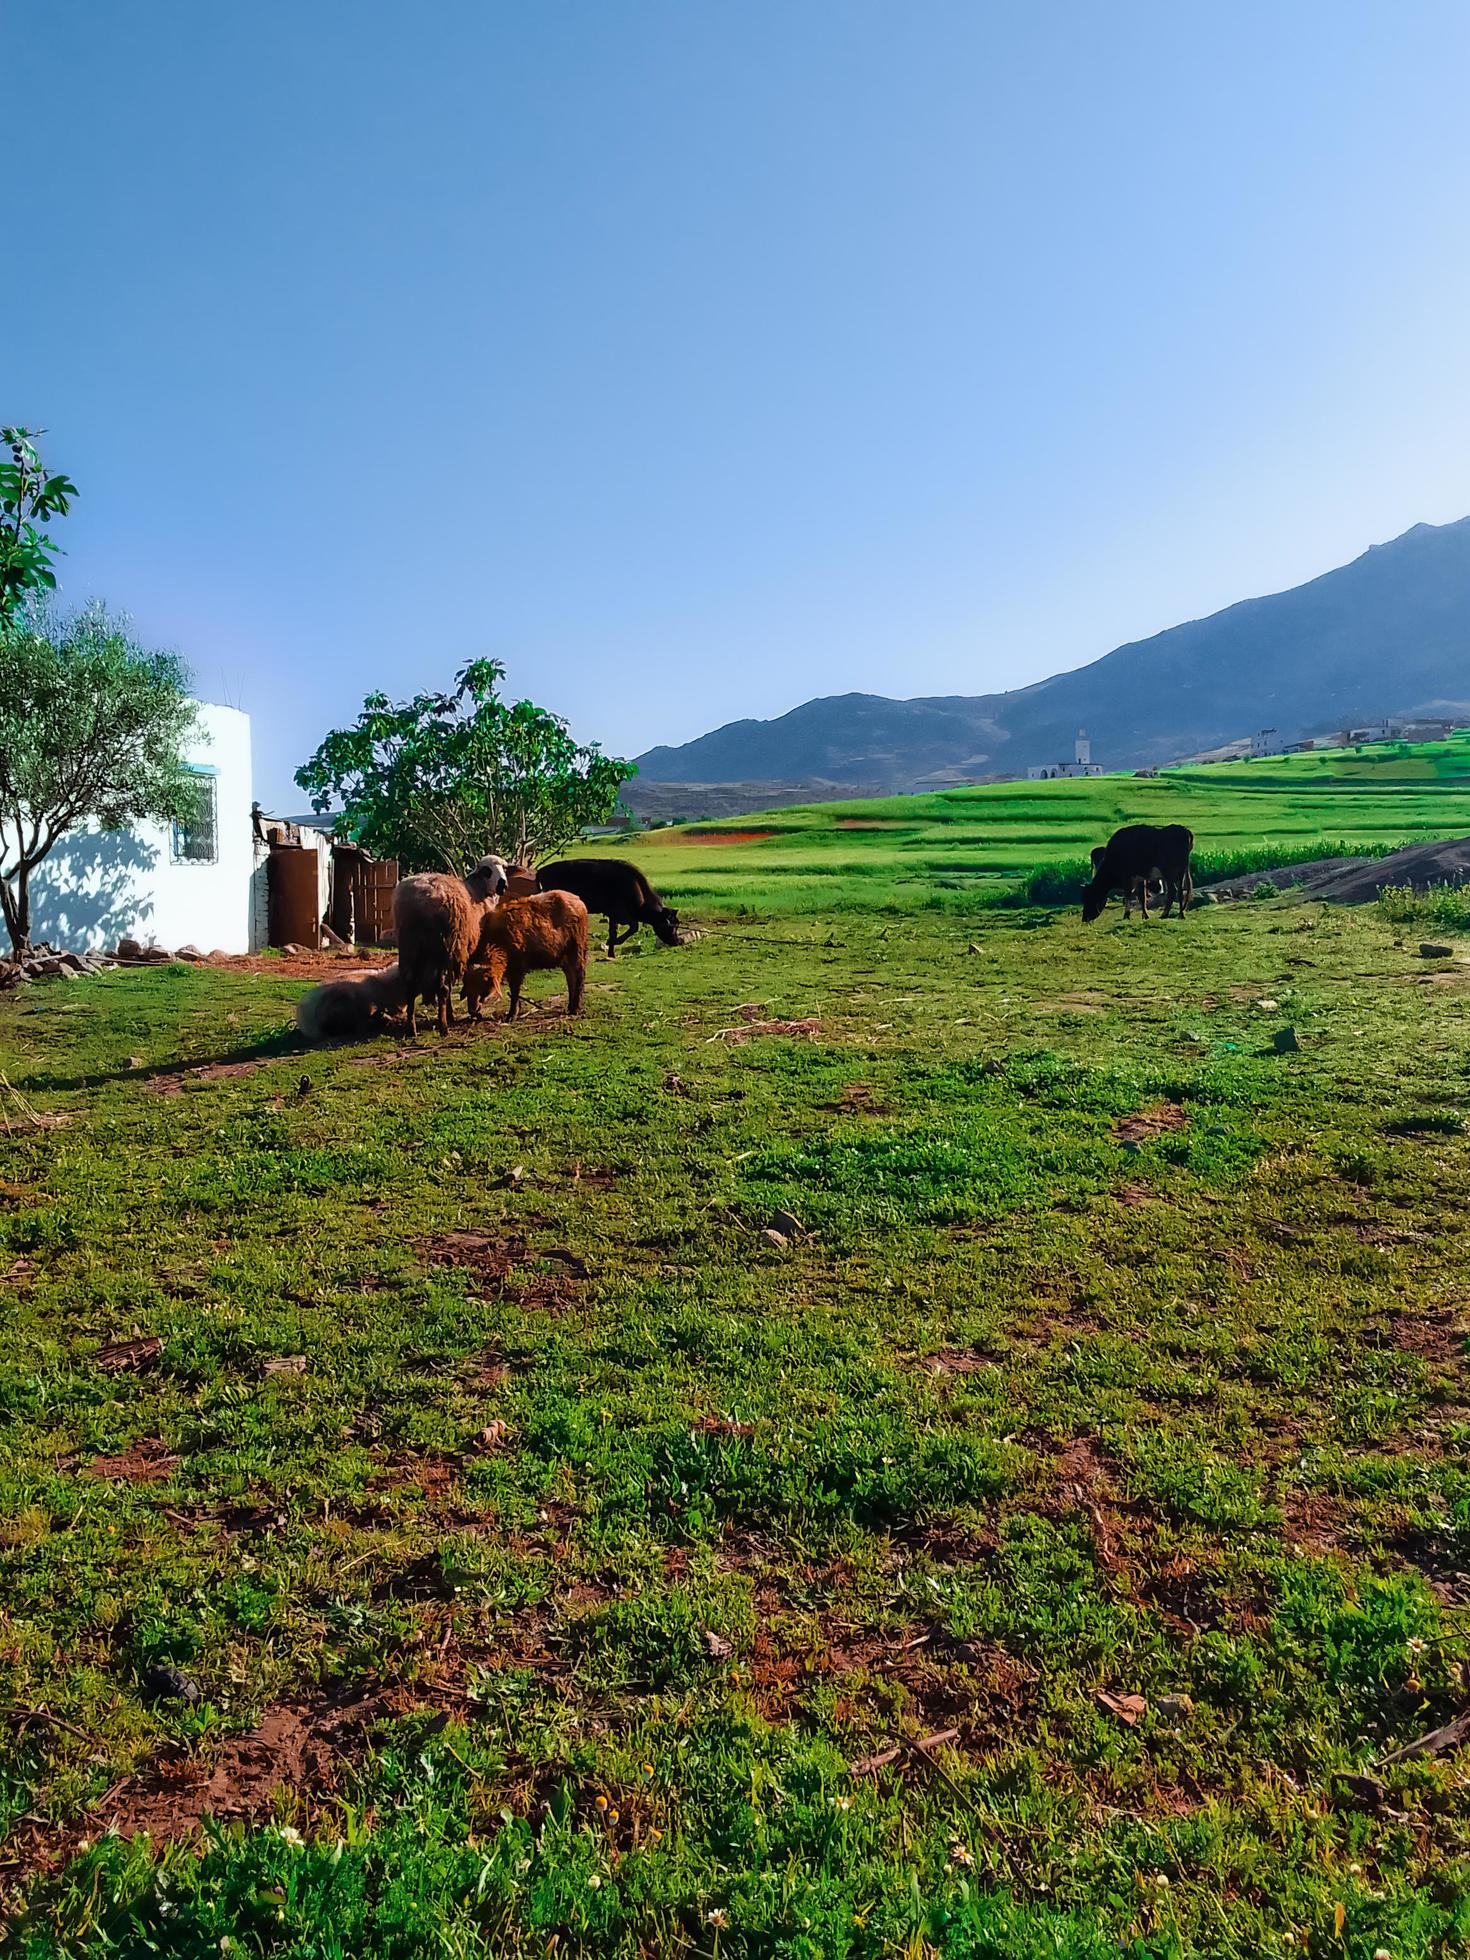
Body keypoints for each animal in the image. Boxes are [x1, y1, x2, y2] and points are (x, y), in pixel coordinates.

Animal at [393, 858, 509, 1042]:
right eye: (487, 870)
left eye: (505, 868)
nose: (502, 885)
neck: (478, 892)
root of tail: (421, 900)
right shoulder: (468, 950)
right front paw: (470, 1011)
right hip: (447, 947)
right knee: (442, 987)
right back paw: (443, 1027)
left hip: (409, 946)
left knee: (410, 985)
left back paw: (412, 1029)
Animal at [468, 882, 591, 1019]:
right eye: (467, 986)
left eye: (482, 984)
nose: (472, 1010)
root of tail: (579, 901)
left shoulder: (518, 965)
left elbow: (515, 990)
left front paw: (512, 1014)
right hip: (564, 955)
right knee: (570, 976)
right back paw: (570, 1007)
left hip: (577, 947)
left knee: (580, 975)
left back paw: (576, 1008)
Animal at [537, 858, 686, 956]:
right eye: (671, 925)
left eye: (678, 923)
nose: (678, 941)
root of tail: (541, 871)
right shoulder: (620, 913)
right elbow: (634, 927)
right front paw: (612, 942)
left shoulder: (613, 914)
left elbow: (613, 930)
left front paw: (611, 952)